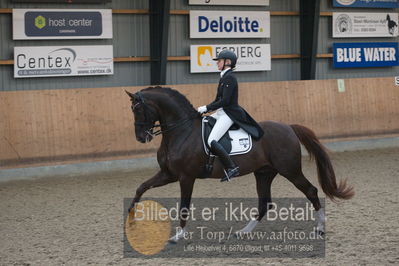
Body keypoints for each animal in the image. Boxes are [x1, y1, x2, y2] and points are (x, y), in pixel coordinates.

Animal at [124, 86, 354, 242]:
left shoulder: (185, 177)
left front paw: (178, 235)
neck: (181, 131)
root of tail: (288, 127)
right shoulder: (168, 174)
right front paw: (131, 219)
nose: (140, 137)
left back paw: (320, 228)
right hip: (264, 173)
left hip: (290, 170)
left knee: (311, 191)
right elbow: (141, 188)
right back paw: (243, 232)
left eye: (138, 109)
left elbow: (184, 207)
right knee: (264, 203)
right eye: (132, 110)